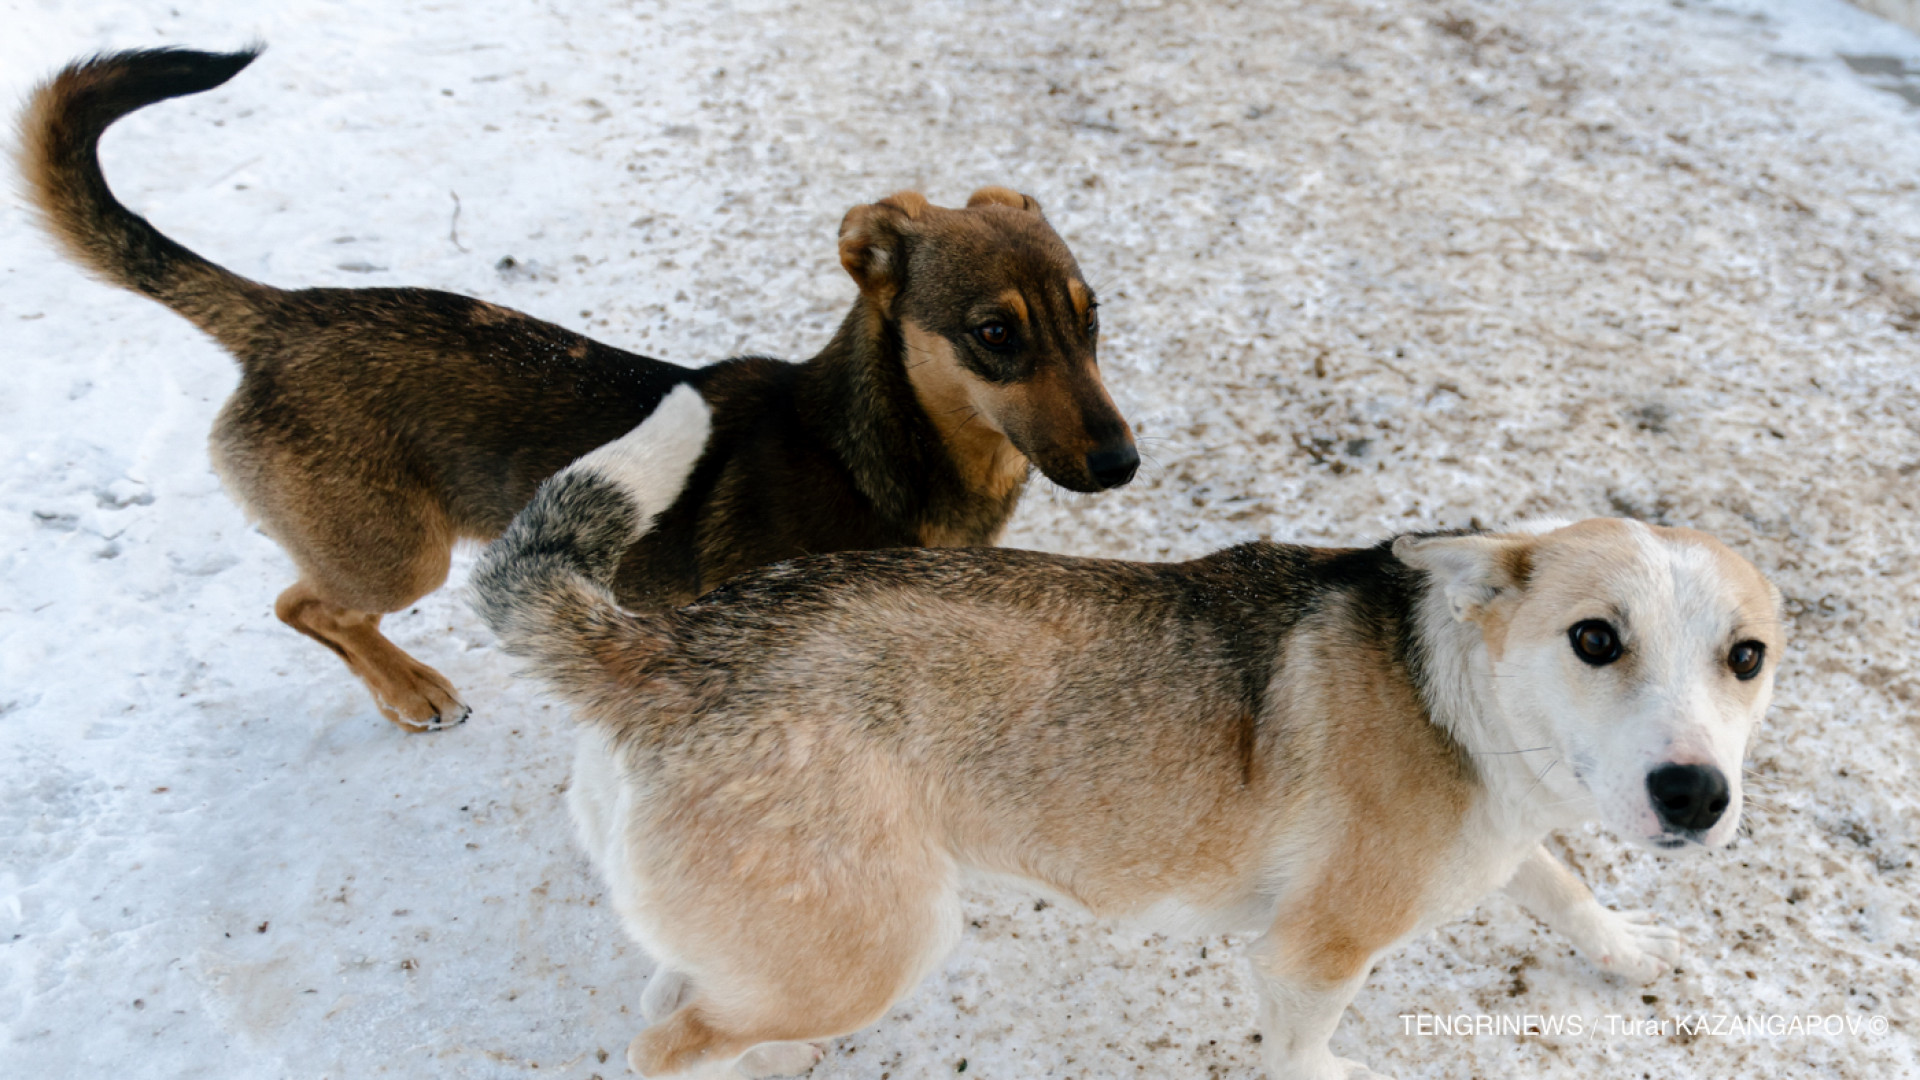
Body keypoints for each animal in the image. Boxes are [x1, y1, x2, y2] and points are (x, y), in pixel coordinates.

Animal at [22, 46, 1128, 726]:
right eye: (994, 335)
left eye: (1093, 317)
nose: (1123, 462)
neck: (876, 452)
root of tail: (285, 312)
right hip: (398, 553)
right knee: (308, 605)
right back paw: (412, 689)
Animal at [468, 388, 1781, 1076]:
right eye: (1595, 639)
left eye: (1748, 657)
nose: (1695, 797)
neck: (1457, 692)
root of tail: (663, 650)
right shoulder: (1310, 959)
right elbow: (1308, 1054)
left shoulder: (1513, 836)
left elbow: (1560, 884)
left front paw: (1625, 948)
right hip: (878, 943)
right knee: (665, 1046)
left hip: (780, 941)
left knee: (679, 1002)